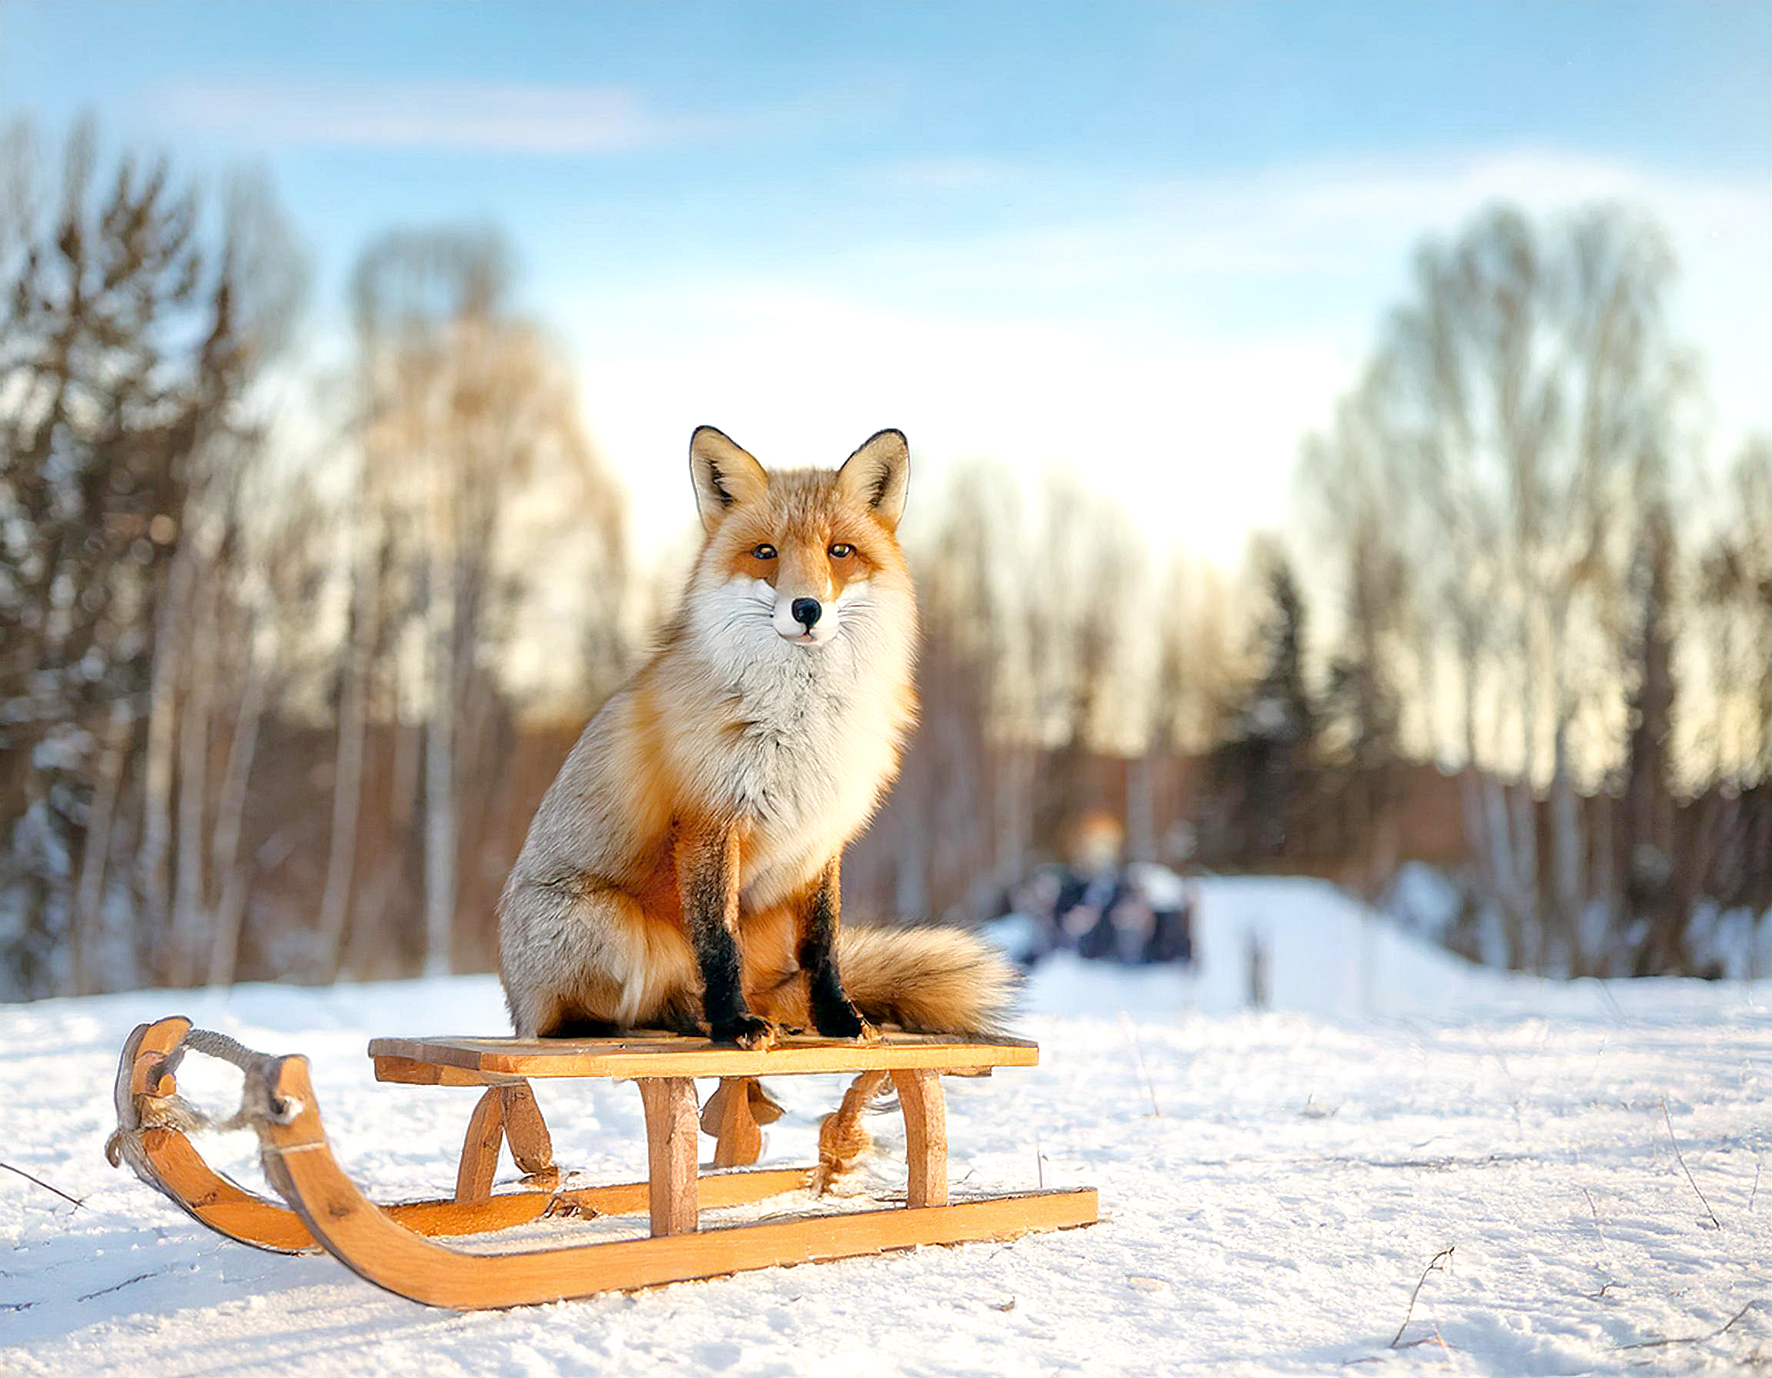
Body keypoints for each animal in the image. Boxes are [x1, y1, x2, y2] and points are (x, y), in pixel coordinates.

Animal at [506, 423, 1020, 1048]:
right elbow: (718, 942)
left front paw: (838, 1018)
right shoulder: (708, 820)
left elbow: (823, 945)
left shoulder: (822, 834)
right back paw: (638, 1024)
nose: (807, 608)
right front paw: (732, 1023)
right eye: (766, 553)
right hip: (609, 928)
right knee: (597, 1014)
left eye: (839, 551)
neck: (799, 722)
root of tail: (516, 1001)